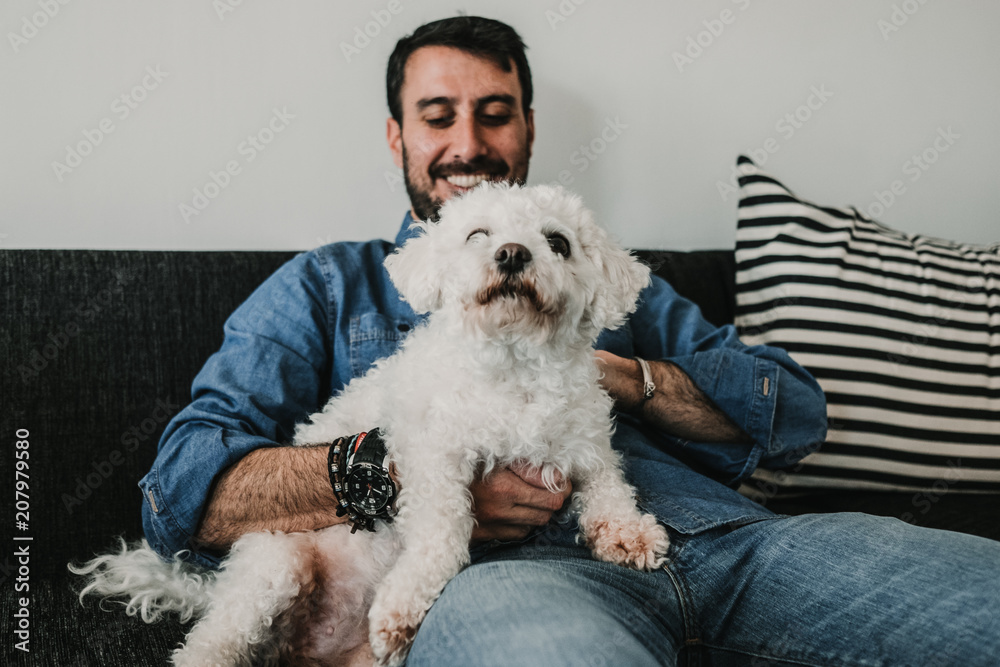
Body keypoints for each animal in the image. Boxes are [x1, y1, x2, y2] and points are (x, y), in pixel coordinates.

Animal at [74, 183, 668, 667]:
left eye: (558, 242)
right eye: (478, 234)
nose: (512, 254)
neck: (515, 366)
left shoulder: (586, 445)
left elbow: (609, 489)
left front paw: (630, 533)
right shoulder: (429, 459)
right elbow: (442, 533)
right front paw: (403, 607)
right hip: (274, 567)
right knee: (212, 644)